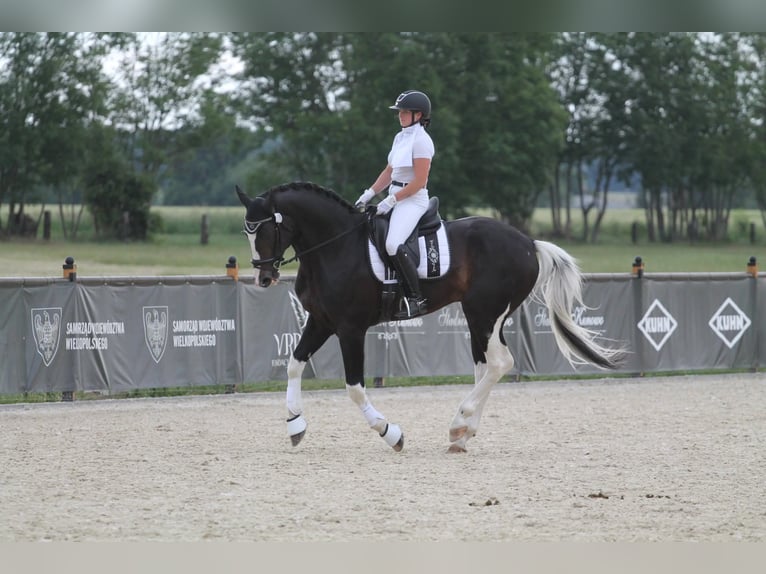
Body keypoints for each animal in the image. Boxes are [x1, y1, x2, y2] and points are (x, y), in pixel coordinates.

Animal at [236, 181, 623, 453]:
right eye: (247, 231)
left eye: (266, 229)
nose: (263, 277)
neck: (334, 247)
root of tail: (528, 243)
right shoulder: (321, 322)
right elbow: (293, 365)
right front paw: (295, 424)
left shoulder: (350, 329)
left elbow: (355, 389)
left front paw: (390, 433)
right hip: (480, 317)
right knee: (485, 366)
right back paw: (463, 434)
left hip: (484, 313)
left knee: (500, 363)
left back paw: (459, 421)